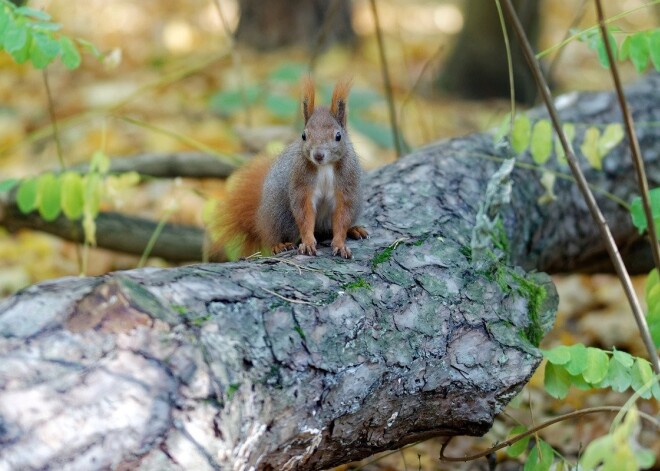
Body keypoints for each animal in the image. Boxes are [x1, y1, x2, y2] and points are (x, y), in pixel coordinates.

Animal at [210, 78, 368, 262]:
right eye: (304, 136)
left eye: (338, 136)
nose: (318, 155)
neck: (324, 167)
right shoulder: (300, 182)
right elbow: (304, 213)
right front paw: (308, 243)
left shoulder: (347, 184)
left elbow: (343, 215)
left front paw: (341, 243)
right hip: (278, 215)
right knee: (270, 235)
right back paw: (279, 244)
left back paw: (354, 229)